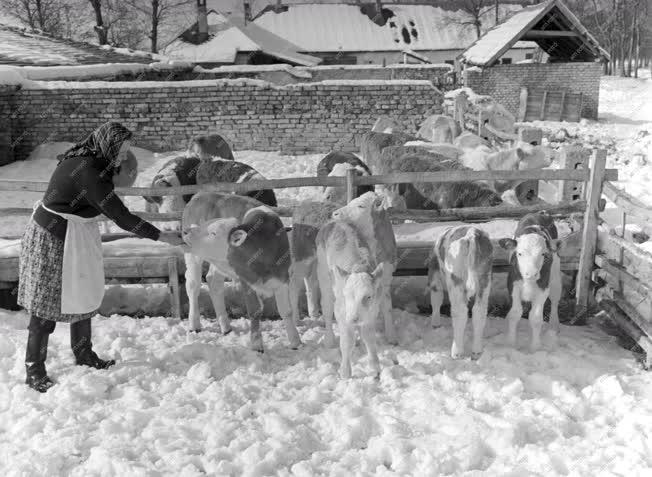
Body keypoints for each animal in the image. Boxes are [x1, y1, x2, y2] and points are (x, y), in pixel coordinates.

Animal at [180, 192, 300, 352]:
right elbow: (254, 310)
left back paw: (225, 326)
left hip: (219, 261)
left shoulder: (282, 278)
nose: (187, 231)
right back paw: (194, 324)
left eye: (214, 233)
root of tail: (200, 195)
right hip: (193, 257)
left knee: (213, 281)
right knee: (193, 286)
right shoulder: (245, 279)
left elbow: (286, 310)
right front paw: (256, 345)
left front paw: (295, 341)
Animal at [318, 220, 388, 380]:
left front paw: (375, 368)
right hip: (323, 273)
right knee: (326, 306)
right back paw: (329, 340)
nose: (354, 319)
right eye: (346, 295)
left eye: (368, 296)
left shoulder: (371, 313)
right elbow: (346, 341)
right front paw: (345, 373)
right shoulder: (341, 312)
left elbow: (369, 338)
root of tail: (334, 222)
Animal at [426, 226, 492, 356]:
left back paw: (456, 352)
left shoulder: (435, 278)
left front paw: (435, 324)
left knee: (459, 312)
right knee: (479, 311)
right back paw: (477, 351)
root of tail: (472, 234)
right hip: (484, 278)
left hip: (455, 278)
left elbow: (436, 300)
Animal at [496, 212, 564, 350]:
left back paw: (554, 326)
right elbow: (515, 313)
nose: (531, 274)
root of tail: (541, 213)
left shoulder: (543, 287)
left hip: (555, 276)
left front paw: (535, 347)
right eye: (519, 254)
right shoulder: (513, 284)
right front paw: (510, 343)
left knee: (555, 301)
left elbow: (536, 318)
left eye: (543, 254)